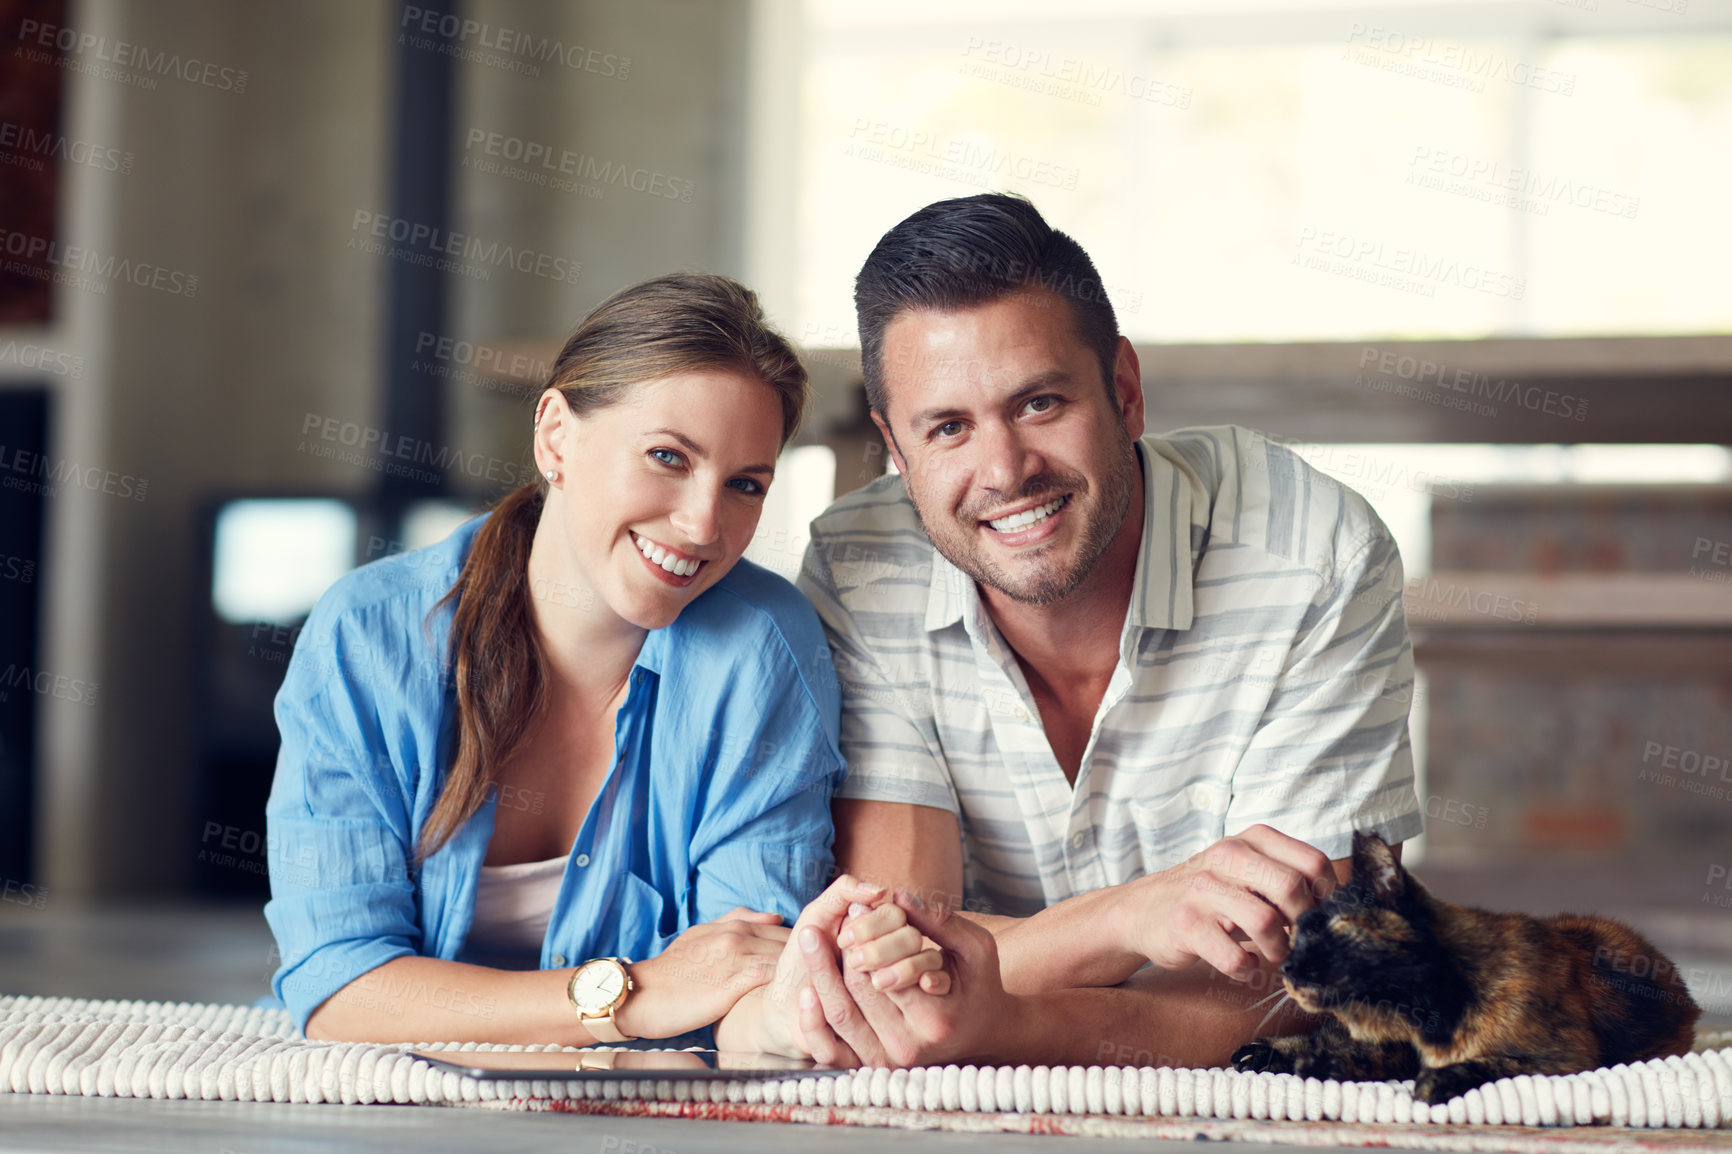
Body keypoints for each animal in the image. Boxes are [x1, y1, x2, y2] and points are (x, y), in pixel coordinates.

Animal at [1233, 828, 1704, 1095]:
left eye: (1333, 929)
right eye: (1295, 937)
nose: (1286, 969)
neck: (1427, 1019)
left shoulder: (1568, 1056)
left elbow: (1496, 1063)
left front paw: (1438, 1082)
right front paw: (1296, 1057)